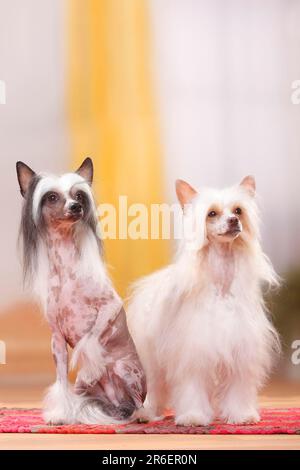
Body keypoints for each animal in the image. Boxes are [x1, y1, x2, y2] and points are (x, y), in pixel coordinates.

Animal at [16, 159, 145, 426]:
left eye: (78, 196)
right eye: (52, 197)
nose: (76, 207)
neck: (65, 267)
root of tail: (116, 400)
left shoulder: (110, 306)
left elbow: (89, 339)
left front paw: (89, 363)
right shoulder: (56, 339)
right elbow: (61, 380)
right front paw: (60, 415)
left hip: (125, 369)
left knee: (137, 401)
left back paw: (139, 415)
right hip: (85, 389)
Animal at [127, 176, 280, 426]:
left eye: (238, 210)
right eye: (212, 213)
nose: (234, 220)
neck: (221, 282)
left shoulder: (240, 350)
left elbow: (237, 389)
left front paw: (241, 415)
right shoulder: (192, 352)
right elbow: (192, 388)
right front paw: (193, 417)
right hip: (149, 358)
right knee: (154, 387)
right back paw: (146, 413)